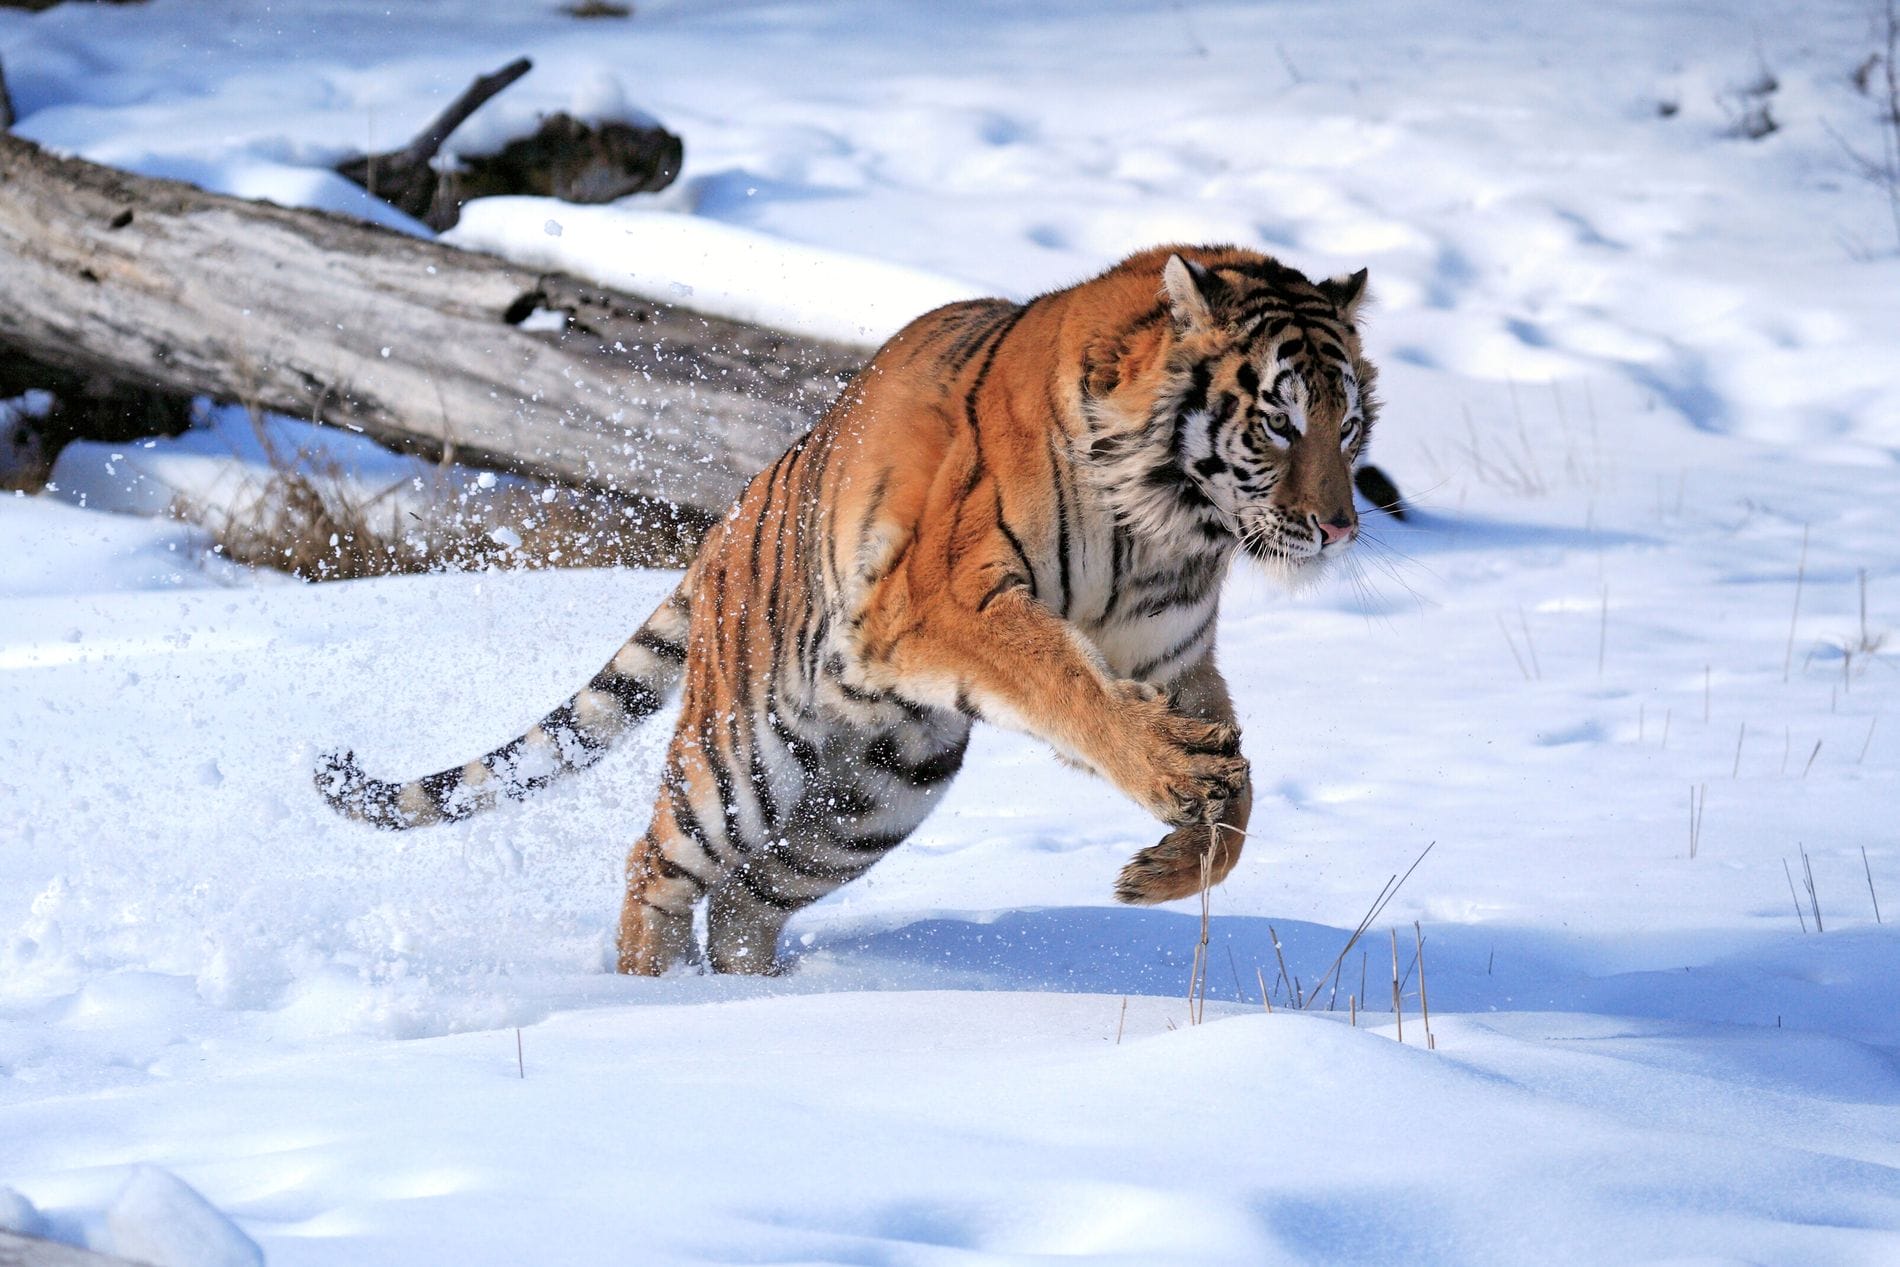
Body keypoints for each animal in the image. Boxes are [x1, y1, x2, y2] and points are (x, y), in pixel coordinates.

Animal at [315, 246, 1383, 980]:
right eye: (1279, 420)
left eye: (1350, 424)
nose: (1340, 525)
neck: (1171, 520)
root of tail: (725, 523)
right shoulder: (949, 599)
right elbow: (1067, 682)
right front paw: (1172, 776)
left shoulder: (1171, 659)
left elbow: (1244, 794)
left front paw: (1165, 867)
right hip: (740, 757)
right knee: (656, 861)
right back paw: (644, 1000)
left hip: (877, 792)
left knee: (747, 902)